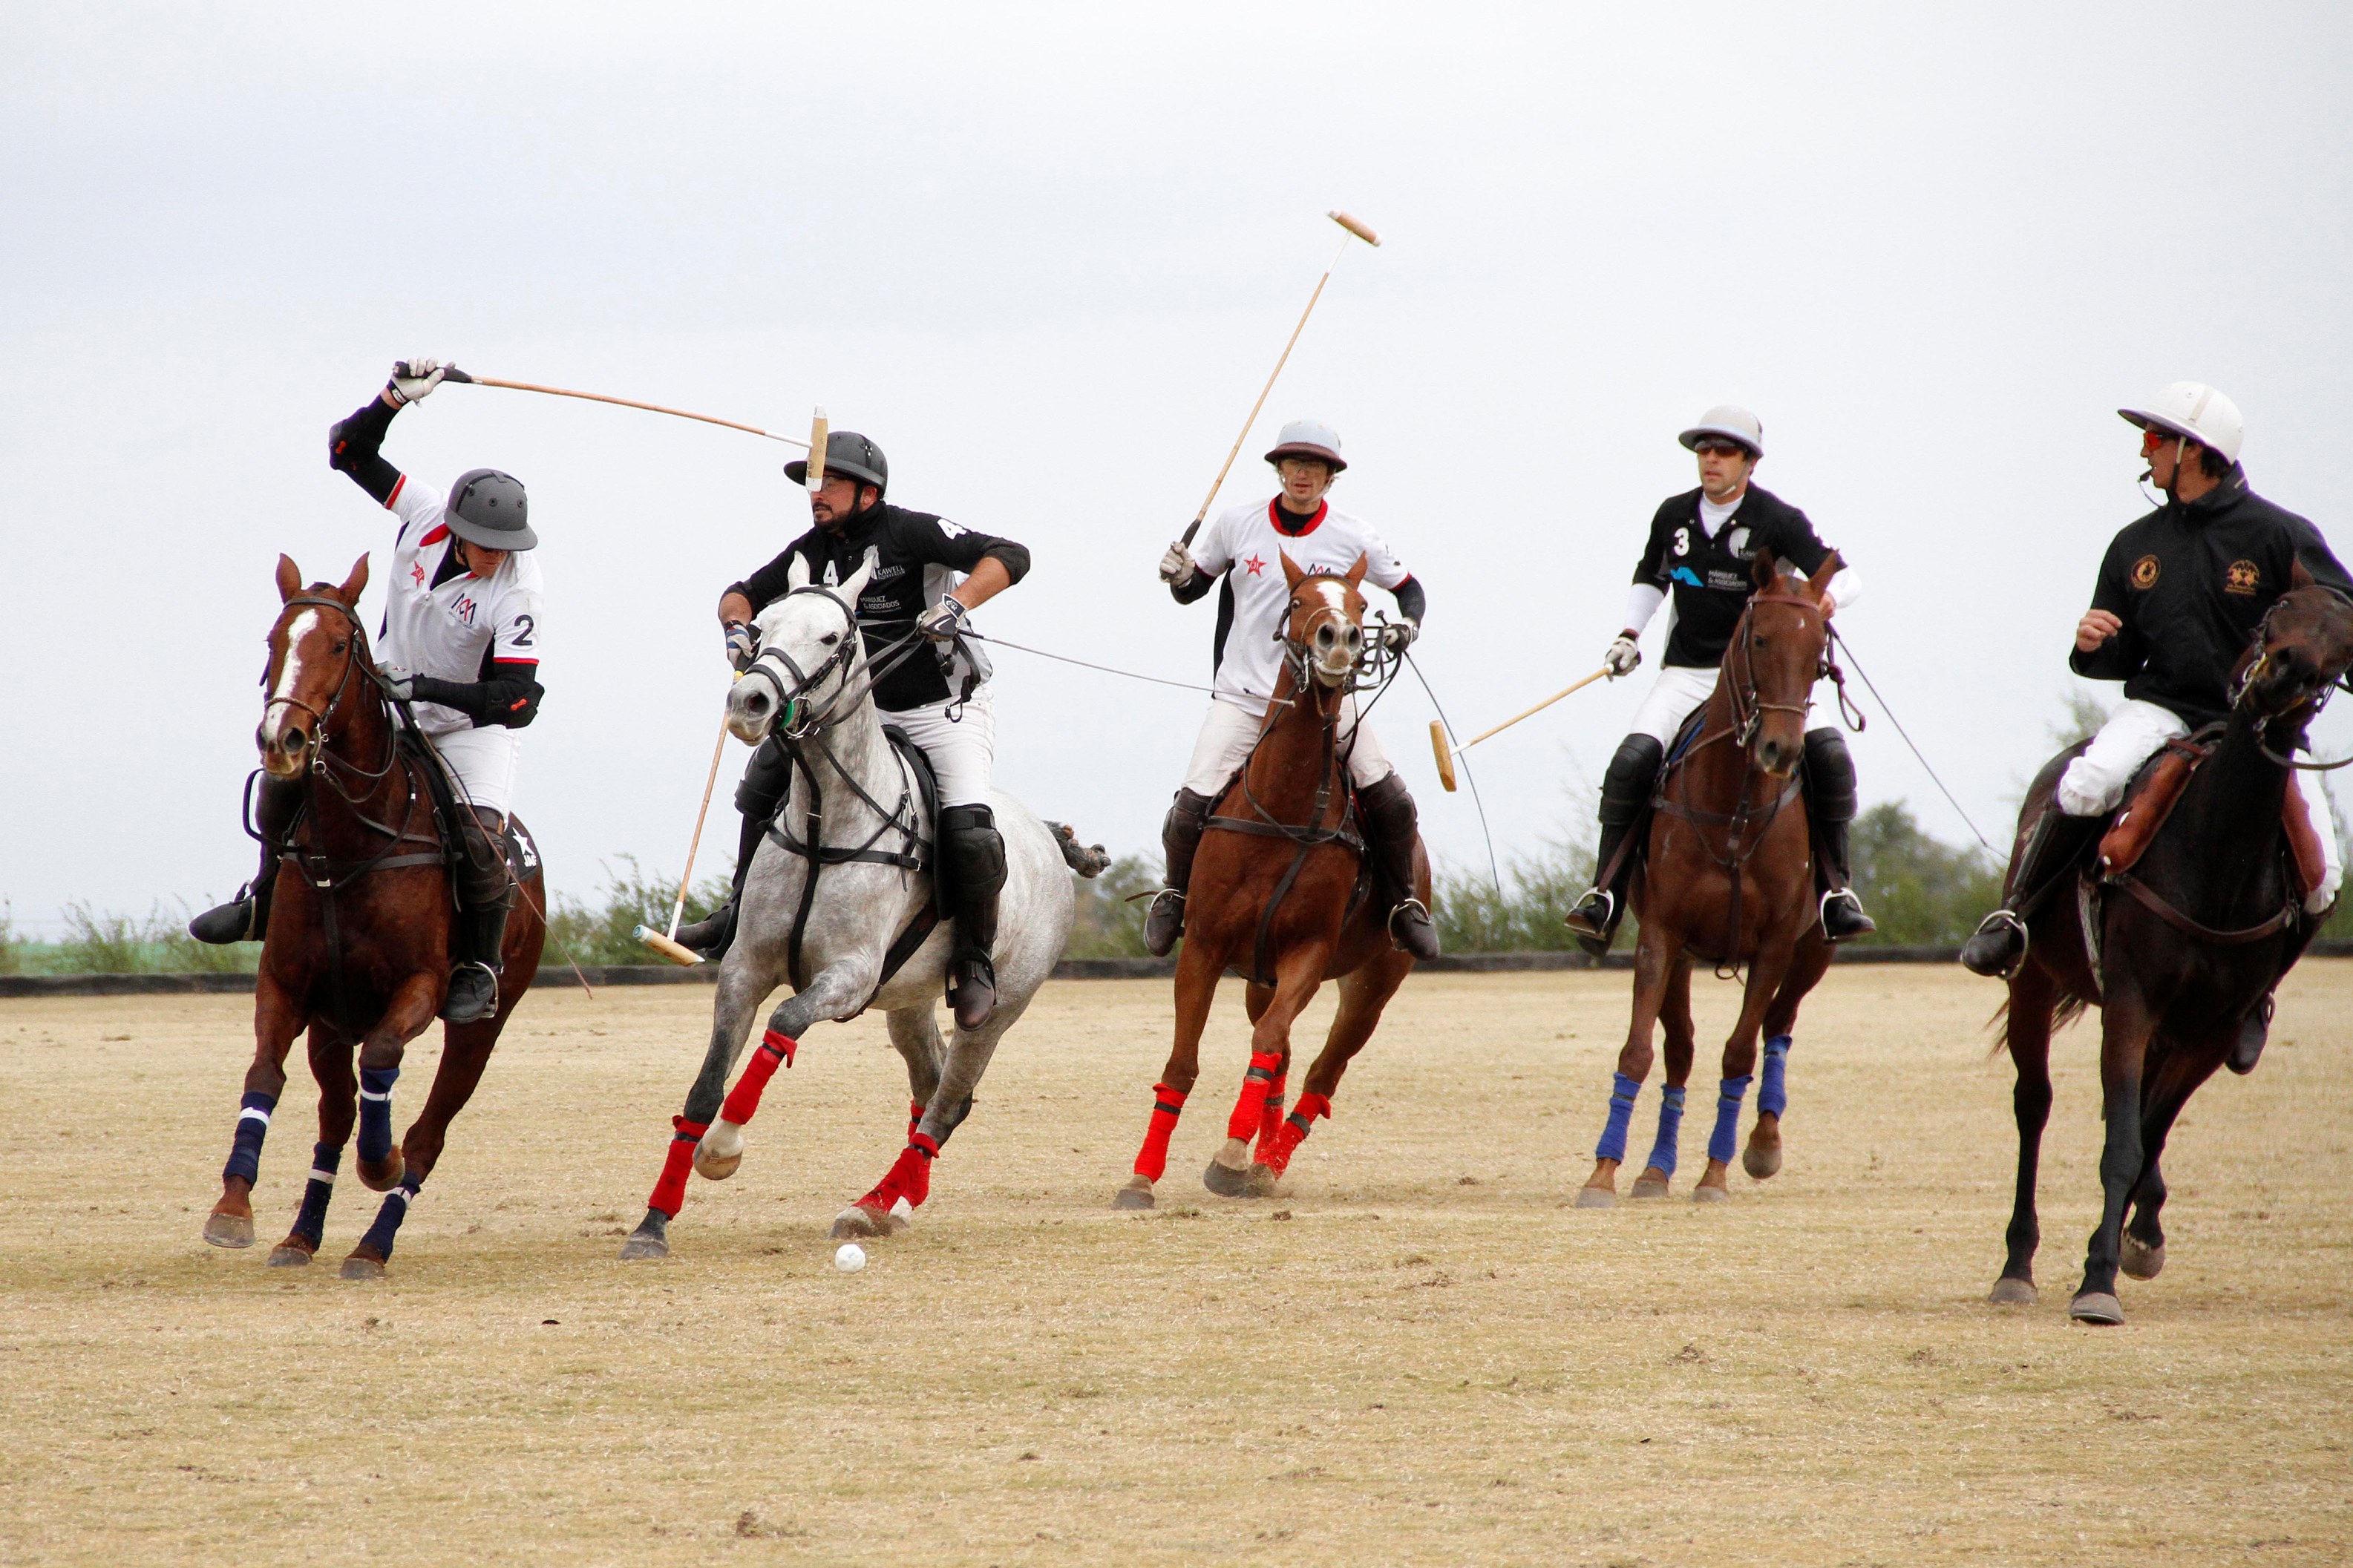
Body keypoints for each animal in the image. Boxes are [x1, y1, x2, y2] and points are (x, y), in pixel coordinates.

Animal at [198, 557, 546, 1279]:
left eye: (338, 645)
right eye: (273, 640)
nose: (283, 740)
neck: (351, 844)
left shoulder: (421, 985)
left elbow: (385, 1063)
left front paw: (380, 1162)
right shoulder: (288, 985)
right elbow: (262, 1076)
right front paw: (233, 1207)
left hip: (482, 1027)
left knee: (427, 1134)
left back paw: (372, 1243)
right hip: (332, 1024)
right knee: (334, 1116)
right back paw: (301, 1236)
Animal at [1110, 554, 1421, 1213]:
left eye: (1362, 605)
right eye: (1298, 600)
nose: (1341, 640)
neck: (1284, 807)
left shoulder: (1310, 948)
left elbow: (1271, 1038)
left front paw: (1230, 1157)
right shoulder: (1204, 946)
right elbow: (1182, 1064)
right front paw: (1141, 1177)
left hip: (1373, 984)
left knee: (1319, 1072)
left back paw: (1269, 1160)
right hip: (1259, 972)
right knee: (1281, 1049)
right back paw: (1261, 1152)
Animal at [1571, 554, 1845, 1213]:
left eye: (1818, 651)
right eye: (1760, 638)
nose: (1779, 749)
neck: (1734, 808)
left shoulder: (1774, 943)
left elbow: (1740, 1051)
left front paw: (1716, 1173)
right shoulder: (1662, 933)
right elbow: (1641, 1050)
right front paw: (1605, 1173)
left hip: (1813, 949)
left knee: (1778, 1026)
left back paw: (1763, 1144)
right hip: (1683, 955)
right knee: (1682, 1048)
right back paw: (1655, 1168)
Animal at [1986, 576, 2353, 1325]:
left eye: (2345, 643)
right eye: (2278, 611)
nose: (2285, 674)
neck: (2219, 853)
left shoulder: (2211, 1028)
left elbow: (2146, 1130)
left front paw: (2132, 1242)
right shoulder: (2131, 1002)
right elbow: (2123, 1141)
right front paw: (2098, 1279)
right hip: (2033, 978)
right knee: (2033, 1103)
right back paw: (2016, 1264)